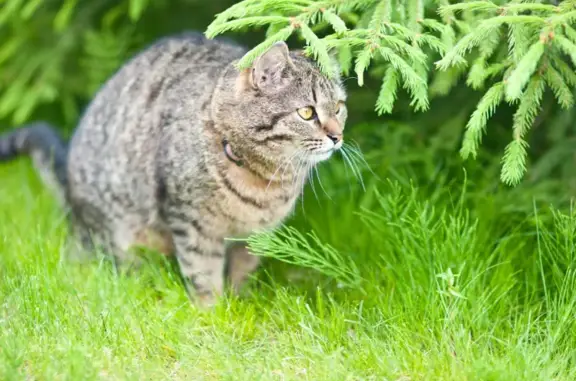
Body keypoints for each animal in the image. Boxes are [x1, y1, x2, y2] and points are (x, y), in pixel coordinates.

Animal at [0, 32, 346, 306]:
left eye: (339, 107)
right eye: (306, 112)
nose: (337, 137)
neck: (263, 179)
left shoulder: (255, 235)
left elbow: (241, 272)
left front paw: (239, 302)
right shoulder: (192, 221)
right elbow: (203, 272)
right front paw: (214, 313)